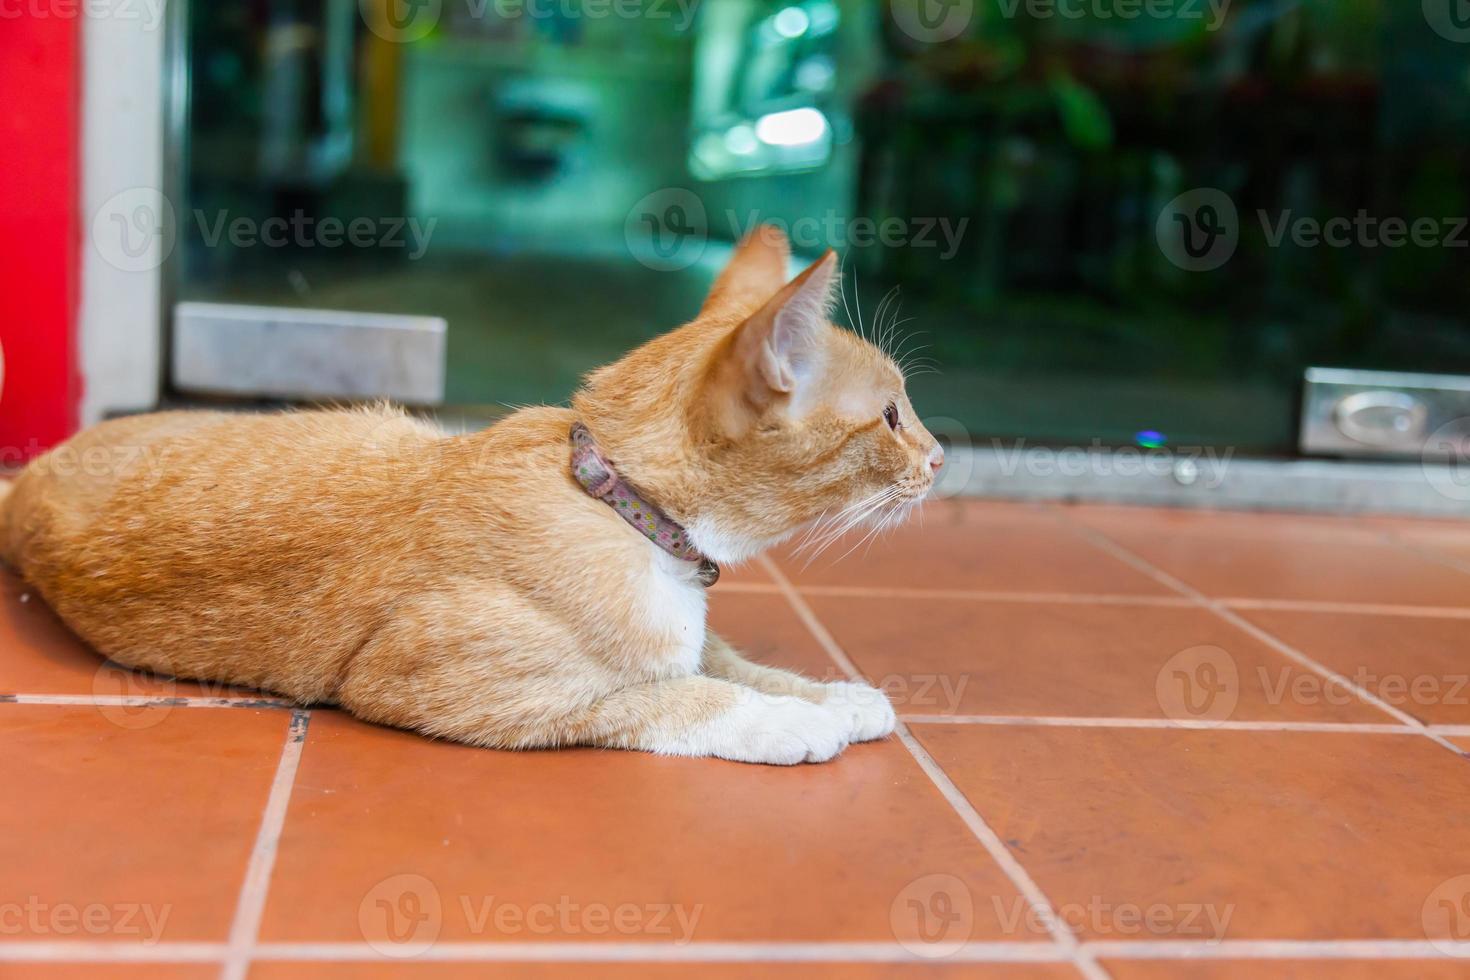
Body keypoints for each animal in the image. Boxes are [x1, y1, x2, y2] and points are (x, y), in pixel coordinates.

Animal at [0, 230, 940, 764]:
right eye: (894, 416)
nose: (938, 458)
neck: (619, 501)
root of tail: (40, 473)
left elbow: (728, 658)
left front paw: (827, 694)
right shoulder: (431, 684)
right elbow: (664, 693)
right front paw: (779, 721)